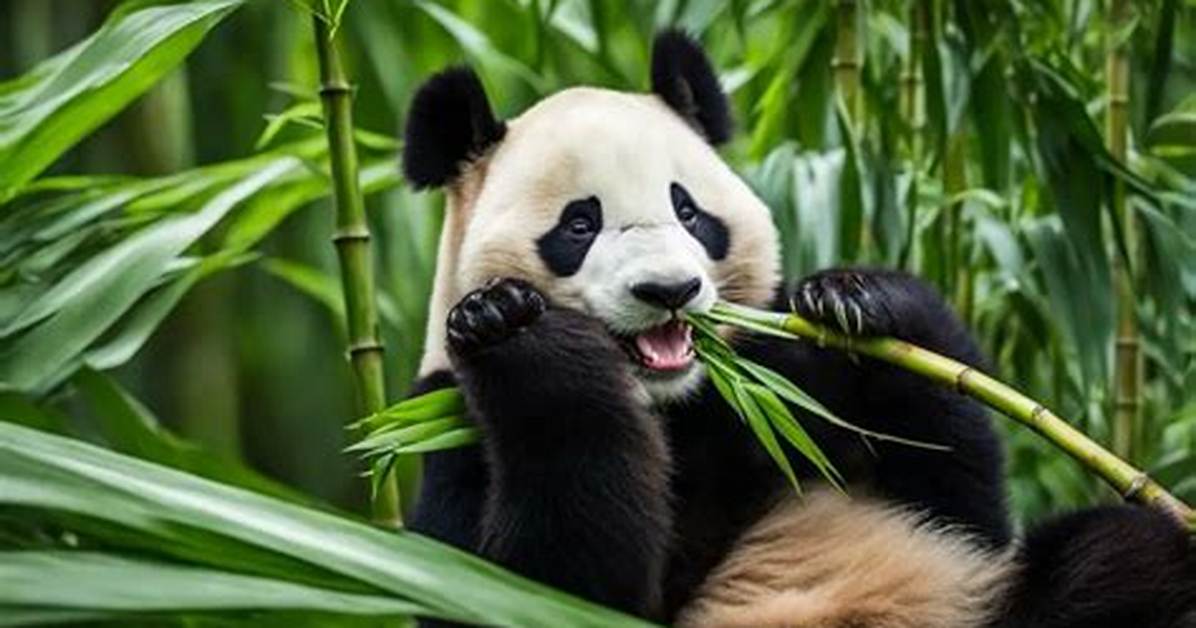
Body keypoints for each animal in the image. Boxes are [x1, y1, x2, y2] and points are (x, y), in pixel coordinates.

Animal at [400, 30, 1196, 628]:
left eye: (689, 211)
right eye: (578, 225)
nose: (670, 291)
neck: (678, 402)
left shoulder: (784, 383)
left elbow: (962, 507)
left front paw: (855, 298)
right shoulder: (450, 427)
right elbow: (532, 583)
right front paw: (512, 328)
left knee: (1120, 557)